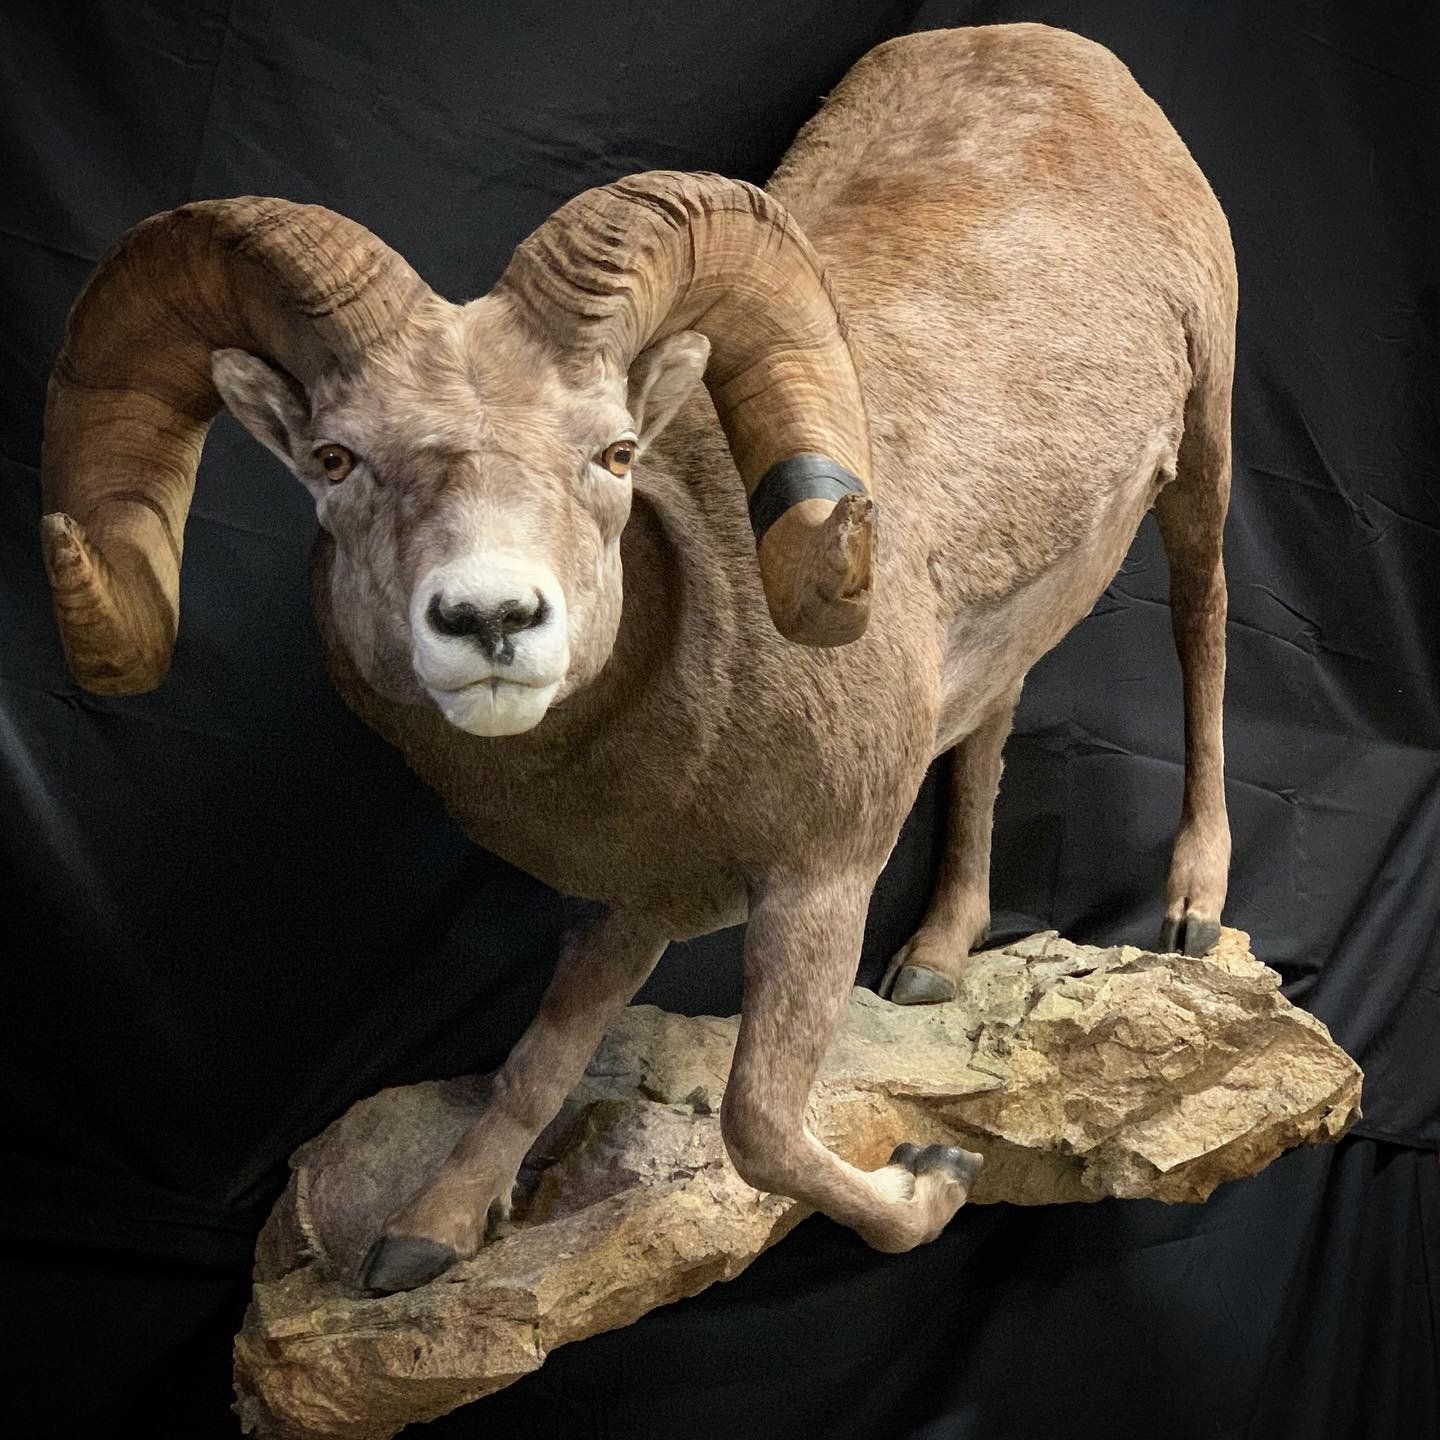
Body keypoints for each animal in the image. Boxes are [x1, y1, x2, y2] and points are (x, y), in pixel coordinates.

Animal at [38, 24, 1234, 1295]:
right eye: (335, 459)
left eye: (614, 452)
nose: (493, 616)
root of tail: (1054, 50)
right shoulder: (639, 899)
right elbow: (541, 1059)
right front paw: (428, 1233)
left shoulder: (819, 883)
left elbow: (758, 1126)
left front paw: (933, 1179)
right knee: (997, 716)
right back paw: (938, 959)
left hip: (1205, 459)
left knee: (1202, 628)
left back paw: (1191, 911)